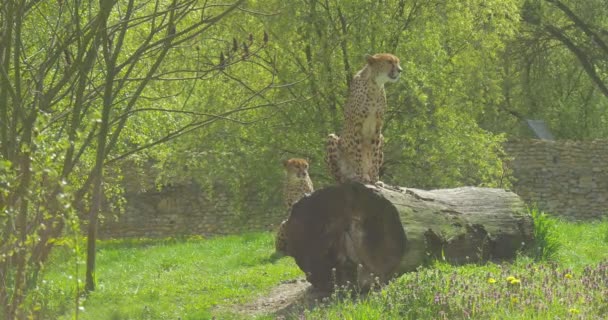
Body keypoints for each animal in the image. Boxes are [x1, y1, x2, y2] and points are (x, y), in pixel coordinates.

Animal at [326, 53, 402, 185]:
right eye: (389, 62)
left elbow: (374, 155)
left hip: (382, 137)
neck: (375, 85)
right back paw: (351, 177)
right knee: (339, 178)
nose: (400, 70)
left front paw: (375, 179)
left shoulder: (378, 127)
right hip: (332, 138)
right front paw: (361, 176)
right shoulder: (357, 125)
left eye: (397, 62)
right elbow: (358, 154)